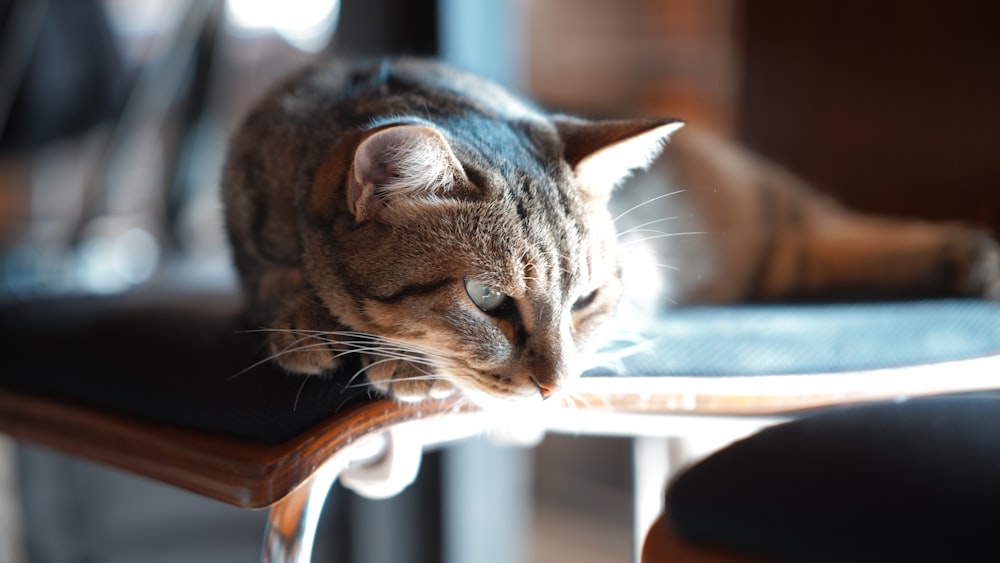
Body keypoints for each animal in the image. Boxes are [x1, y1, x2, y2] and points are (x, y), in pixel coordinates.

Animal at [223, 57, 996, 406]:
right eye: (486, 298)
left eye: (587, 299)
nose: (554, 385)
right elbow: (272, 274)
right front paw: (302, 311)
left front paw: (400, 360)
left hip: (777, 218)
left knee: (839, 232)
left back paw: (967, 257)